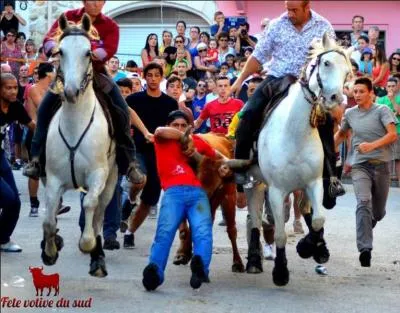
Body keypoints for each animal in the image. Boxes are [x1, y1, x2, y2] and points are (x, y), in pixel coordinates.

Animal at [41, 13, 117, 276]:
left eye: (87, 53)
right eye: (60, 52)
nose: (71, 91)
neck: (76, 124)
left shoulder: (98, 174)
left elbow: (91, 206)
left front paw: (88, 244)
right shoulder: (53, 178)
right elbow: (49, 219)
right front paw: (50, 250)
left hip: (112, 180)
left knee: (99, 214)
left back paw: (98, 258)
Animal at [173, 133, 245, 272]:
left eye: (218, 186)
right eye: (198, 179)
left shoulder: (222, 198)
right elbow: (186, 227)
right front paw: (183, 254)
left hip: (227, 198)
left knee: (229, 228)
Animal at [255, 34, 348, 286]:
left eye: (347, 71)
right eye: (326, 63)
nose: (336, 99)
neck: (294, 132)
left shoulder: (314, 183)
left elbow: (317, 219)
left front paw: (308, 247)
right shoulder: (276, 190)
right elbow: (279, 234)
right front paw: (280, 271)